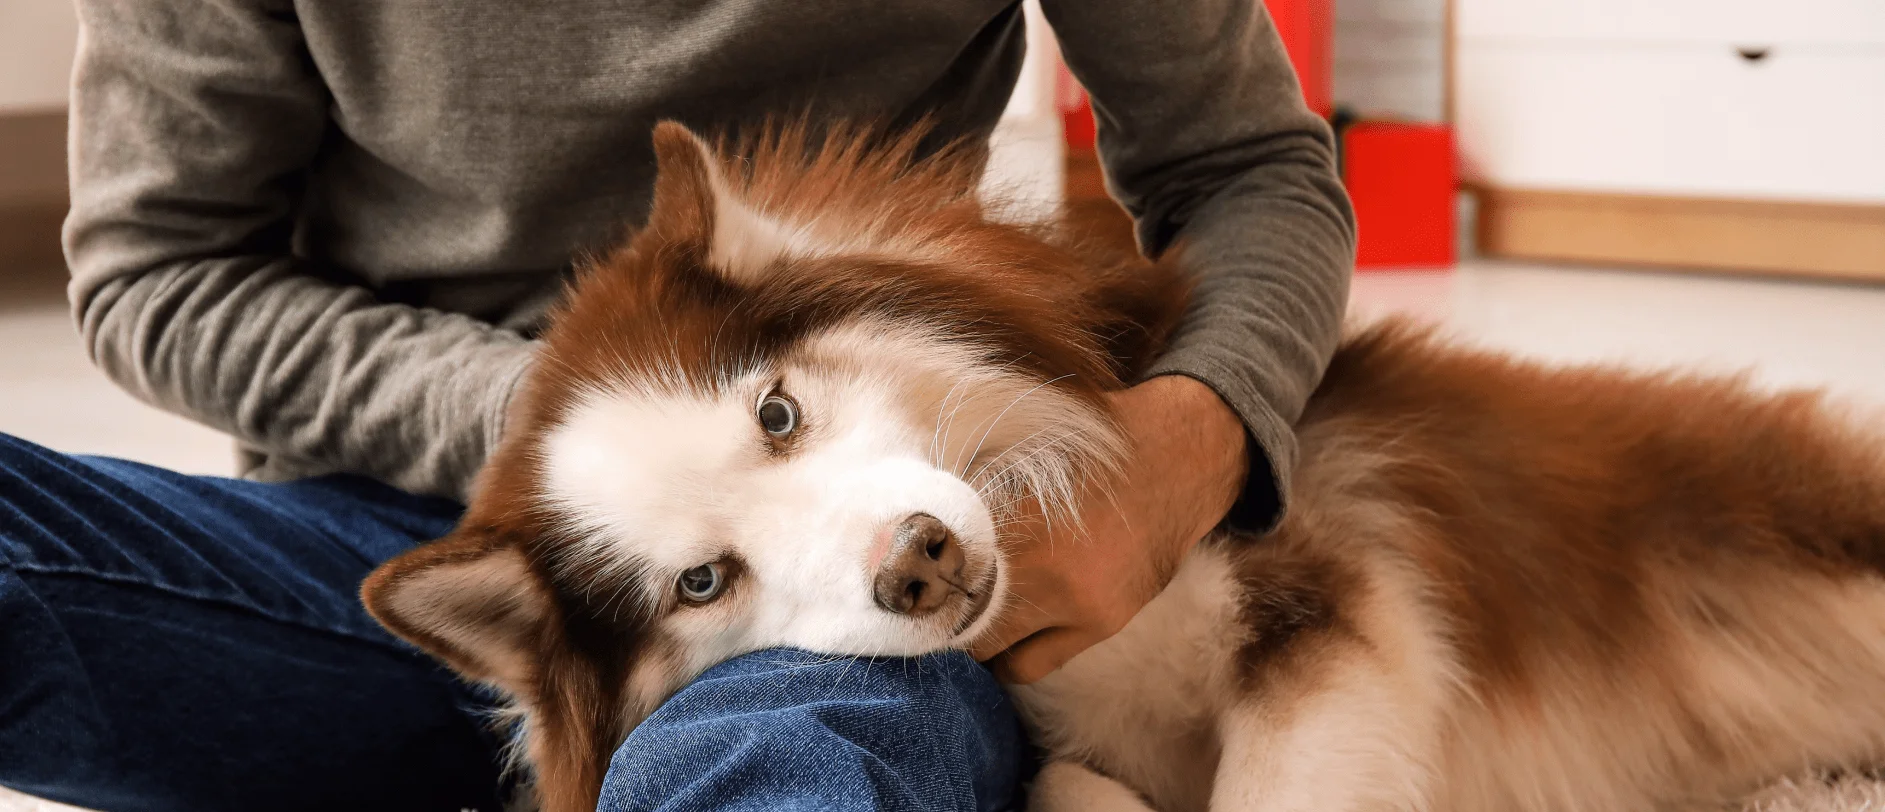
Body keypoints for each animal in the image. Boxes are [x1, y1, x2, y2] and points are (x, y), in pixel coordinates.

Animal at [360, 120, 1885, 812]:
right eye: (699, 582)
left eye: (777, 414)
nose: (917, 566)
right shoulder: (1076, 752)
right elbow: (1077, 789)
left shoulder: (1324, 613)